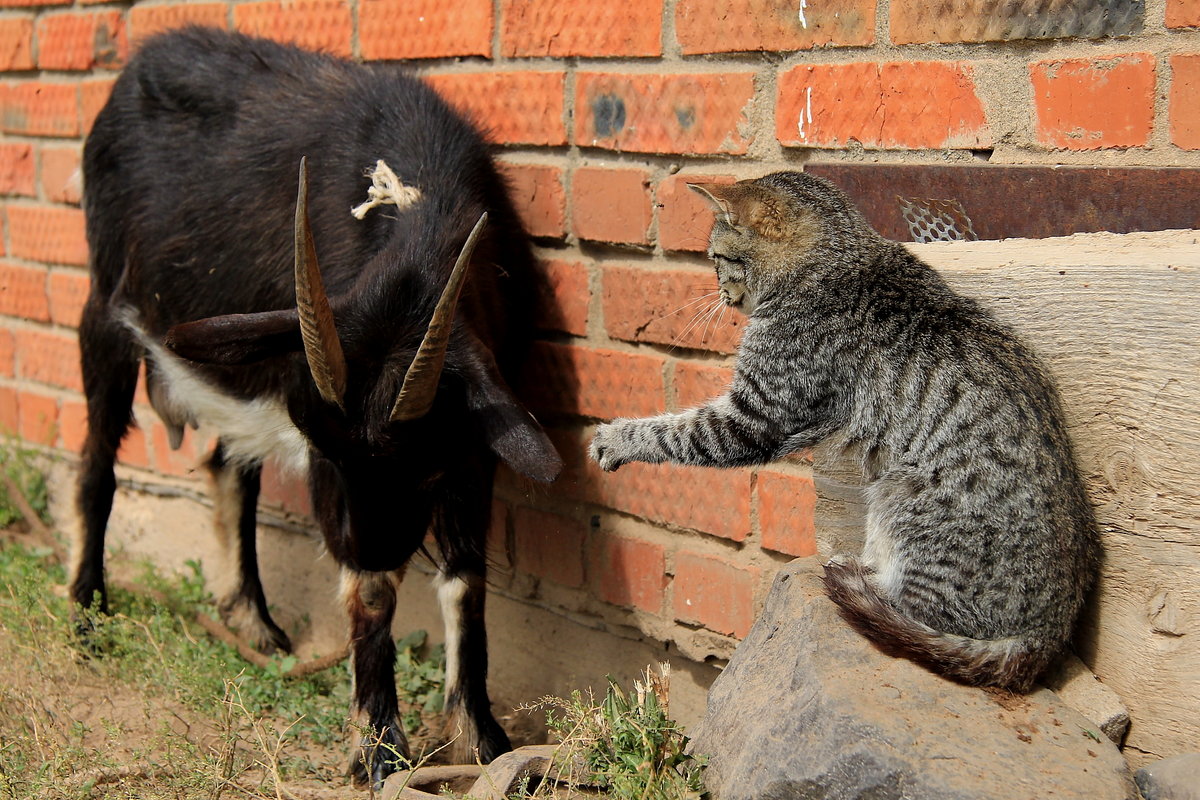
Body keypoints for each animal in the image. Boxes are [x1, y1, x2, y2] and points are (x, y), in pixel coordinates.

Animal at [75, 28, 561, 786]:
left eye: (423, 468)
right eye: (324, 454)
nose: (371, 546)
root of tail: (140, 61)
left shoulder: (477, 444)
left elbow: (466, 582)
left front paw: (483, 742)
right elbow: (372, 596)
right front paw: (380, 748)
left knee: (227, 467)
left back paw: (253, 624)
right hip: (105, 306)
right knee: (97, 460)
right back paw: (87, 617)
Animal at [585, 172, 1099, 690]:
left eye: (715, 259)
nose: (723, 296)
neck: (841, 258)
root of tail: (1049, 634)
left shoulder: (756, 415)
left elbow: (675, 431)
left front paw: (616, 438)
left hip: (899, 492)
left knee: (916, 619)